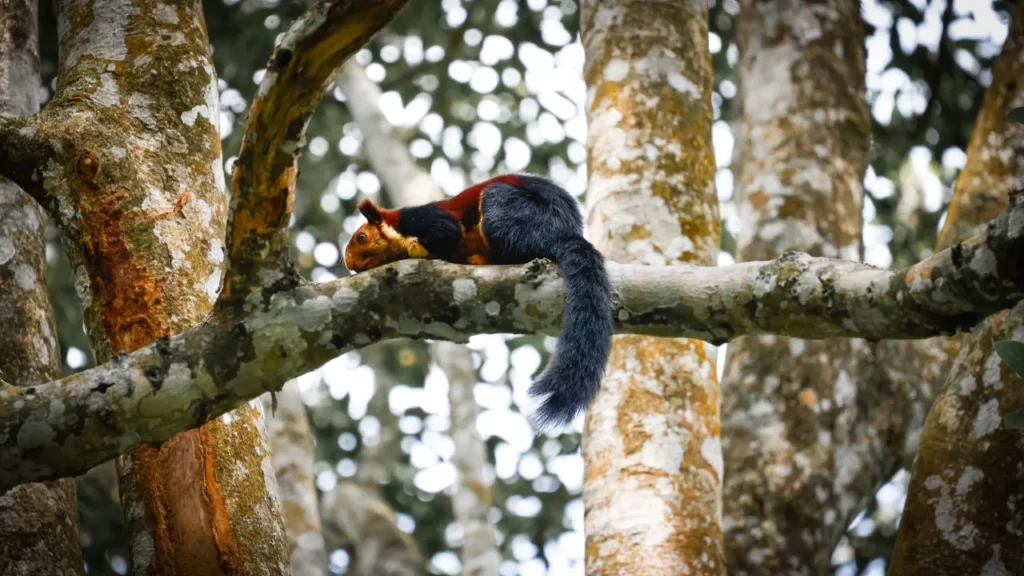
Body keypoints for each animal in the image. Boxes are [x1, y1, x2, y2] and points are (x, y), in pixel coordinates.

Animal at [344, 173, 613, 428]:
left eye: (361, 237)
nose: (349, 263)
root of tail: (564, 232)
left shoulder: (426, 219)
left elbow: (448, 232)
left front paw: (415, 247)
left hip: (517, 215)